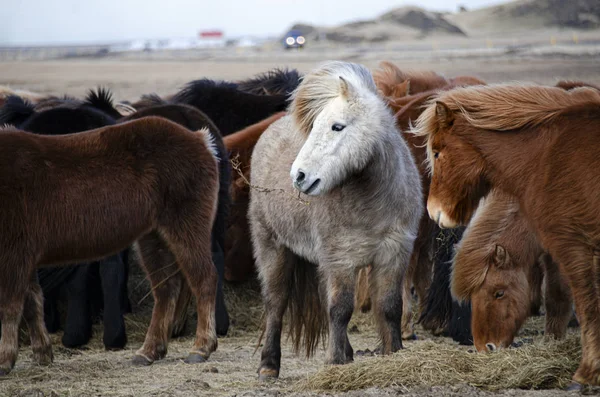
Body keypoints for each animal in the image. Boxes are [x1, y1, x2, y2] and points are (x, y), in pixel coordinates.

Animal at [0, 115, 220, 374]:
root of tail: (200, 140)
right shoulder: (26, 256)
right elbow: (32, 302)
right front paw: (42, 354)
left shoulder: (15, 253)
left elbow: (10, 306)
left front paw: (4, 360)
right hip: (153, 237)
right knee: (166, 288)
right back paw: (149, 352)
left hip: (186, 226)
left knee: (203, 279)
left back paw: (201, 348)